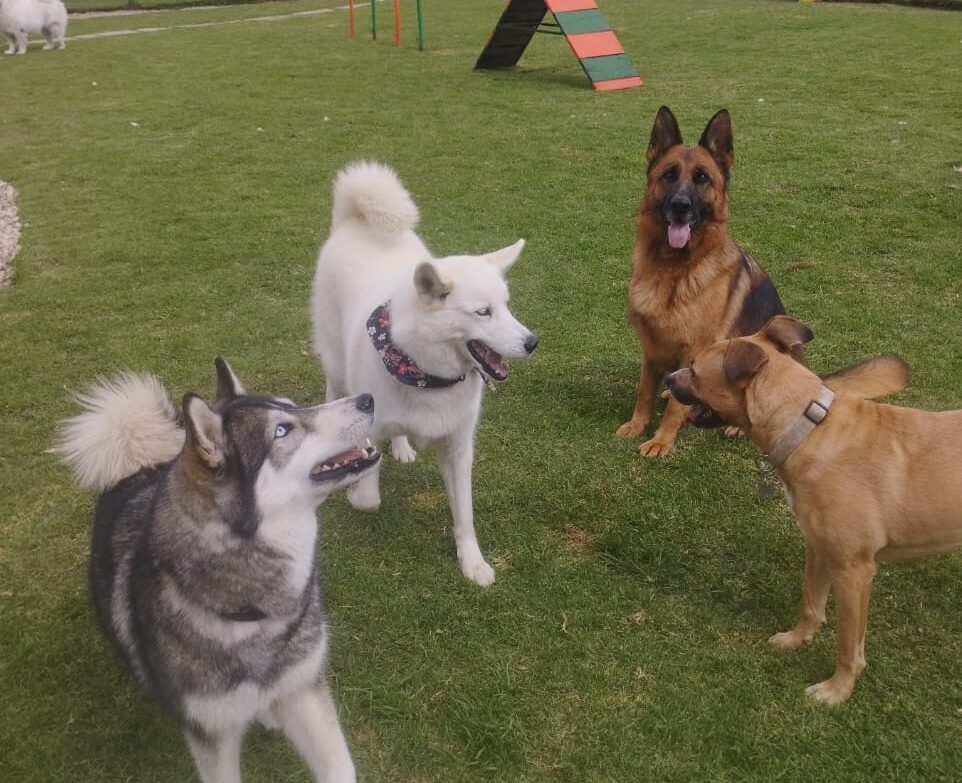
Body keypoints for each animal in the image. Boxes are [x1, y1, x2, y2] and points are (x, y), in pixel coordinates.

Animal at [312, 161, 536, 588]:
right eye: (483, 312)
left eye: (507, 306)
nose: (533, 342)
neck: (428, 376)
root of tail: (355, 220)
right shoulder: (370, 425)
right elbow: (368, 498)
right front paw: (357, 490)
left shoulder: (459, 449)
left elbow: (465, 515)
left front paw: (472, 561)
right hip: (333, 360)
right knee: (333, 389)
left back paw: (401, 447)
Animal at [616, 107, 796, 456]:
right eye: (669, 175)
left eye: (702, 178)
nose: (680, 206)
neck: (673, 270)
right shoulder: (651, 348)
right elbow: (644, 391)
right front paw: (636, 425)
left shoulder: (694, 348)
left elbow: (674, 411)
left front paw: (661, 440)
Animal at [668, 316, 960, 708]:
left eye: (696, 371)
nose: (667, 379)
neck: (808, 429)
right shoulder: (819, 547)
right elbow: (810, 602)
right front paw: (796, 640)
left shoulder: (854, 571)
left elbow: (848, 645)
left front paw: (837, 690)